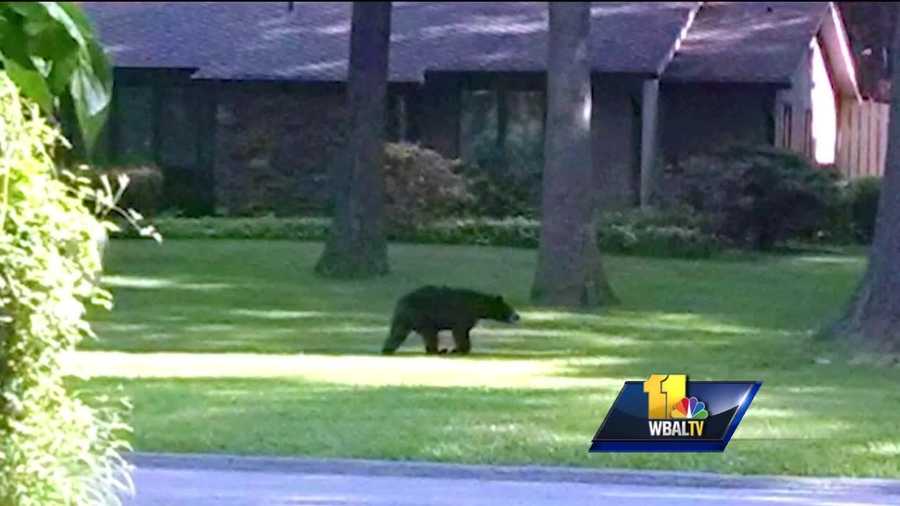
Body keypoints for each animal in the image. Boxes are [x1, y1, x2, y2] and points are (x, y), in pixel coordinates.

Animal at [380, 286, 520, 354]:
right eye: (509, 307)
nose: (517, 316)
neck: (477, 306)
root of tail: (401, 301)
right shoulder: (462, 315)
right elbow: (460, 332)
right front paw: (460, 349)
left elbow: (465, 332)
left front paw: (460, 349)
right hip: (422, 315)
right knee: (430, 334)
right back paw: (438, 350)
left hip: (404, 318)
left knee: (397, 333)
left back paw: (387, 349)